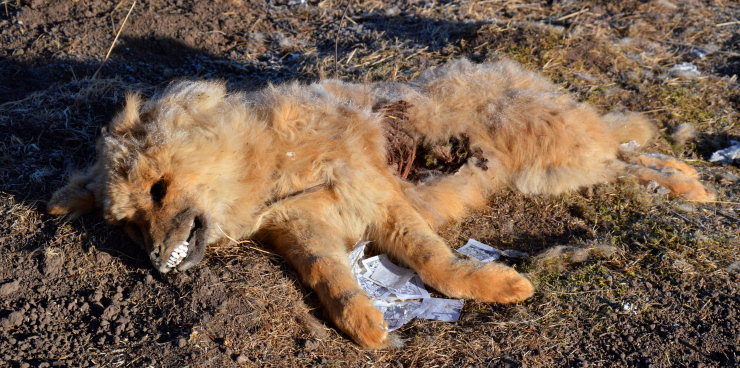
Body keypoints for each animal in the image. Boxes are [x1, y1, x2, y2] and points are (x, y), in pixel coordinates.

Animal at [49, 59, 712, 346]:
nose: (155, 263)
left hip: (552, 150)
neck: (269, 173)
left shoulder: (382, 202)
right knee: (624, 153)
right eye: (130, 225)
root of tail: (512, 70)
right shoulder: (307, 234)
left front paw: (499, 286)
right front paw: (370, 327)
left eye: (159, 190)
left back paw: (688, 183)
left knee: (626, 150)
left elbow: (439, 263)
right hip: (551, 168)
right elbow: (336, 288)